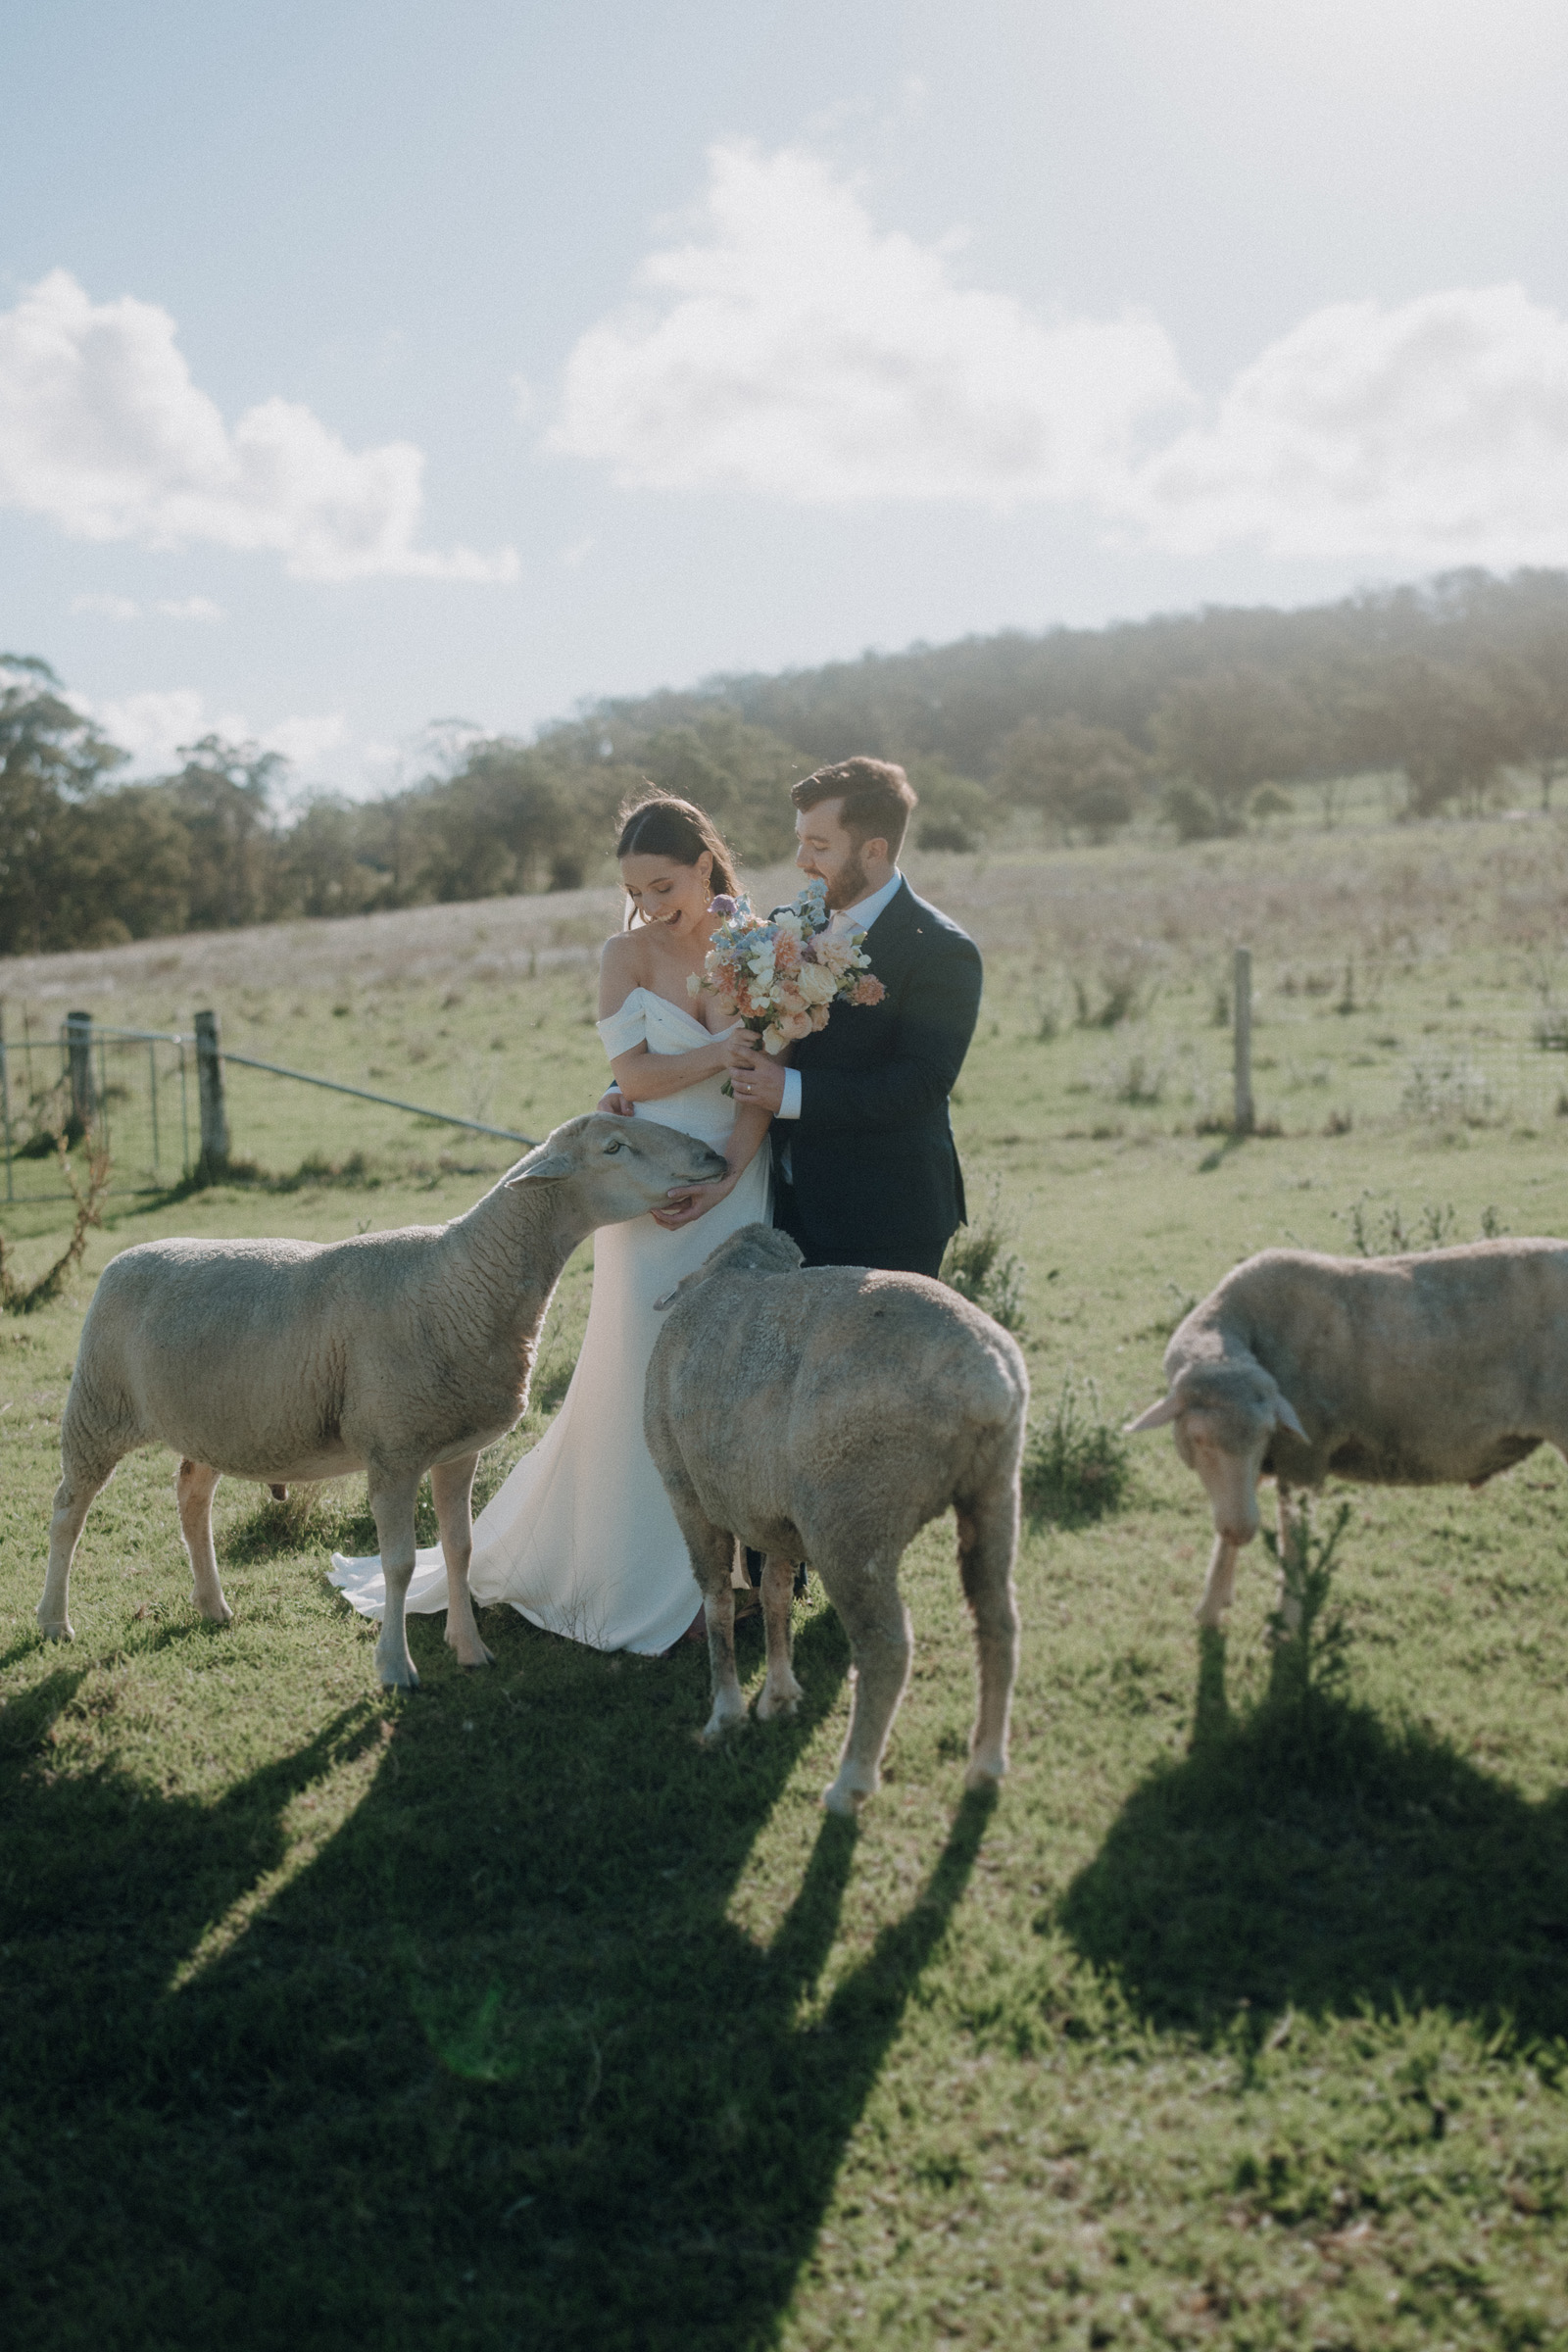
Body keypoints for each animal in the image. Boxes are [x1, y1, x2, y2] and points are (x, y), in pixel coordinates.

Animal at [36, 1109, 723, 1684]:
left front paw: (470, 1649)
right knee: (68, 1510)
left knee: (191, 1496)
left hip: (214, 1421)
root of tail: (125, 1257)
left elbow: (459, 1548)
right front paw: (395, 1668)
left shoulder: (458, 1449)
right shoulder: (393, 1451)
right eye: (613, 1147)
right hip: (97, 1408)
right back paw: (54, 1620)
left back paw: (212, 1605)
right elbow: (398, 1565)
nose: (713, 1155)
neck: (463, 1280)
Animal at [639, 1232, 1029, 1815]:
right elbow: (775, 1592)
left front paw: (725, 1714)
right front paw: (778, 1695)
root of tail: (987, 1377)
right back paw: (986, 1763)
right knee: (998, 1623)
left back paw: (851, 1781)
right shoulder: (777, 1515)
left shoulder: (685, 1490)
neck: (729, 1270)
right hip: (994, 1493)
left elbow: (717, 1599)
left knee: (886, 1647)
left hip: (852, 1519)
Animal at [1128, 1242, 1568, 1627]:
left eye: (1266, 1431)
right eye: (1199, 1438)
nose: (1244, 1530)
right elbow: (1228, 1537)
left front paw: (1287, 1622)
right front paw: (1211, 1607)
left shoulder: (1302, 1456)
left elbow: (1293, 1542)